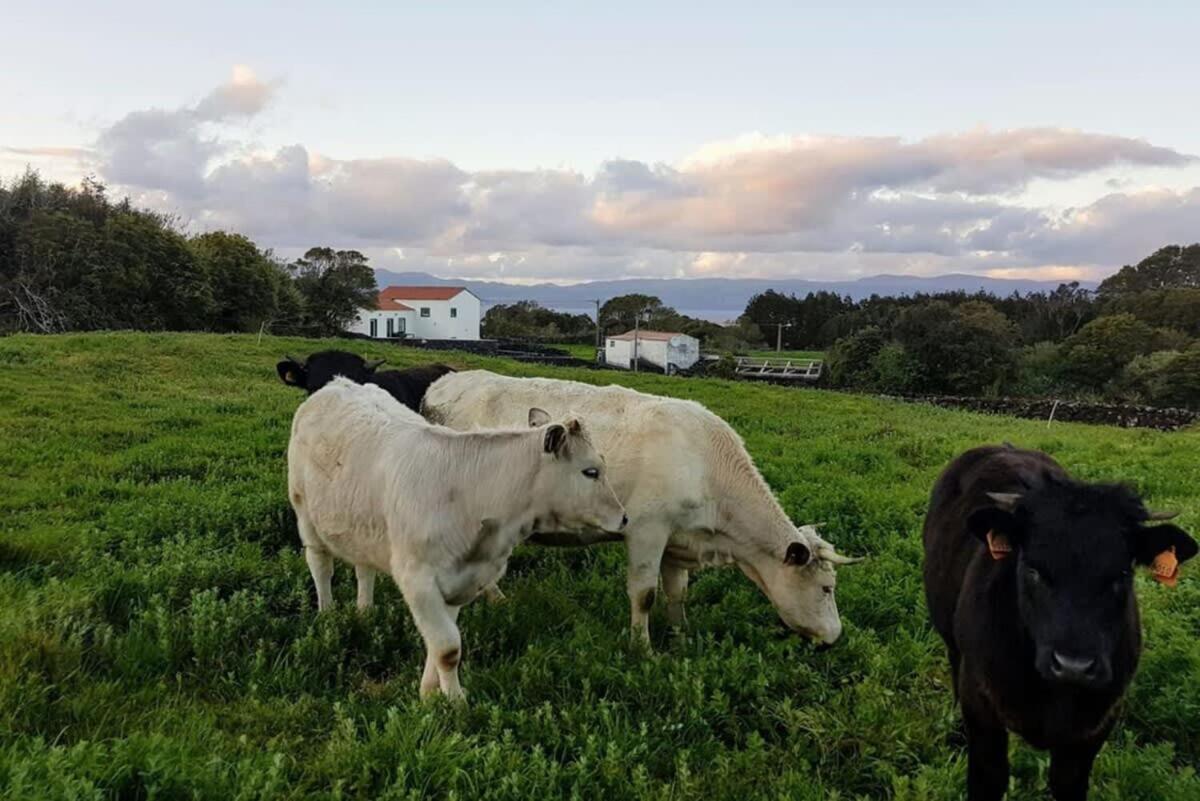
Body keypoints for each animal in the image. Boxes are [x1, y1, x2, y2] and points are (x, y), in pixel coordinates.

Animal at [288, 378, 628, 695]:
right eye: (591, 472)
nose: (624, 517)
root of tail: (338, 383)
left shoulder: (461, 581)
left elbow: (442, 646)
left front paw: (430, 693)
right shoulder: (418, 580)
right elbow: (448, 647)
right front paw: (455, 704)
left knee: (364, 569)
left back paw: (365, 611)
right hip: (305, 513)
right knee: (320, 565)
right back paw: (328, 615)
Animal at [424, 369, 864, 642]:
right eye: (826, 588)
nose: (835, 637)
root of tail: (447, 381)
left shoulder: (678, 539)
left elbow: (677, 593)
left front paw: (681, 636)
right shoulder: (645, 530)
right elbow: (644, 594)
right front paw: (643, 649)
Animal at [916, 443, 1190, 801]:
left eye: (1122, 574)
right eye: (1033, 569)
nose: (1074, 666)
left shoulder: (1097, 723)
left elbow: (1067, 782)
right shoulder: (980, 704)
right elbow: (989, 778)